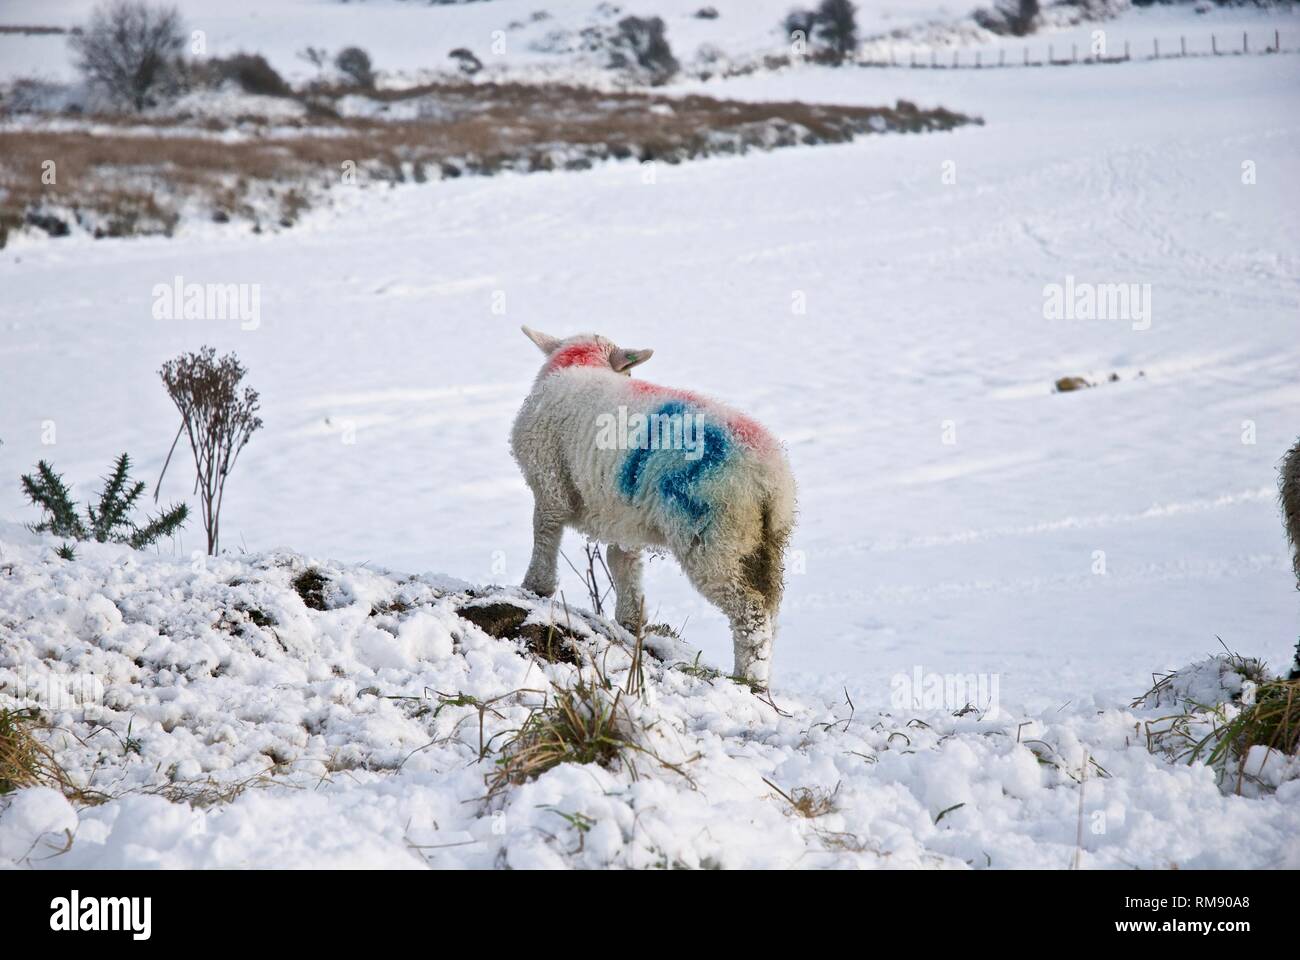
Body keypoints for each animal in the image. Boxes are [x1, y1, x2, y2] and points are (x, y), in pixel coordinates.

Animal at [509, 325, 795, 686]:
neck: (579, 365)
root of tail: (770, 479)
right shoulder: (622, 513)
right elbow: (623, 562)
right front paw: (630, 620)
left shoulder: (550, 481)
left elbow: (545, 532)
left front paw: (535, 587)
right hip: (766, 544)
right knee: (770, 607)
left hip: (714, 535)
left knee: (750, 611)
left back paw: (747, 678)